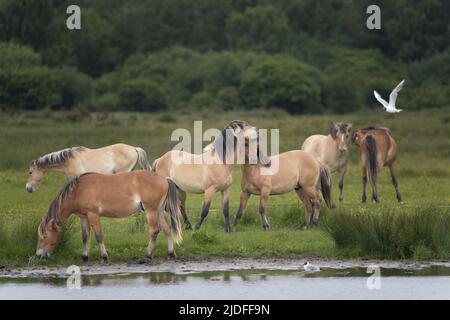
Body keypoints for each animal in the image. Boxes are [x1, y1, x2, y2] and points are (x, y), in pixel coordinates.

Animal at [36, 170, 182, 260]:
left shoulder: (93, 215)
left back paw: (148, 254)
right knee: (167, 229)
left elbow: (99, 236)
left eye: (45, 236)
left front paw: (104, 256)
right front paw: (84, 256)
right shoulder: (83, 217)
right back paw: (170, 253)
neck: (79, 190)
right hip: (159, 211)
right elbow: (85, 237)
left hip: (151, 211)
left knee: (154, 231)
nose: (38, 255)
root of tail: (164, 178)